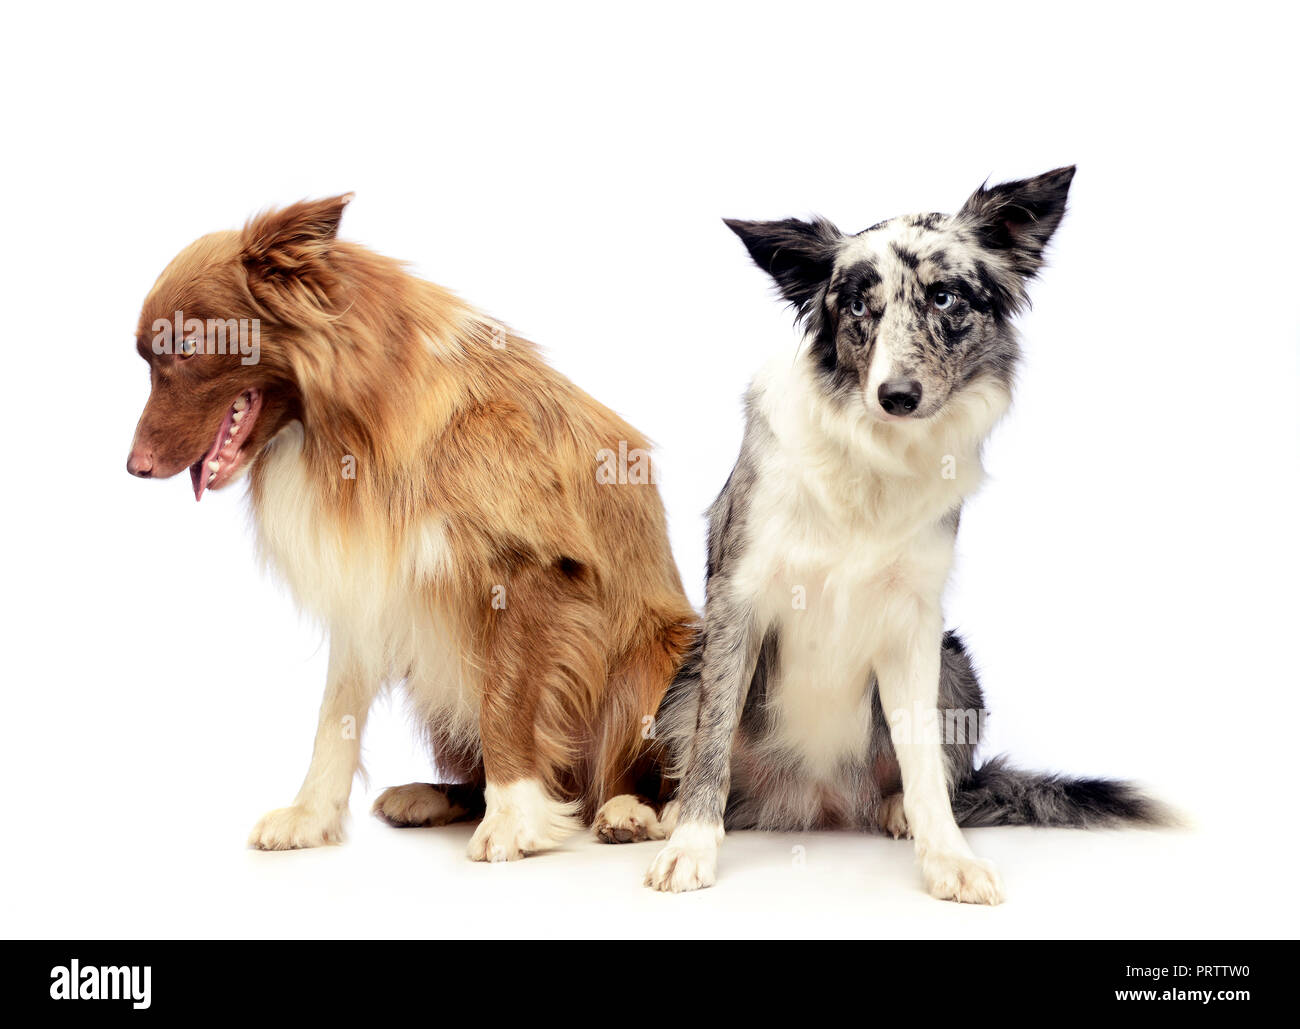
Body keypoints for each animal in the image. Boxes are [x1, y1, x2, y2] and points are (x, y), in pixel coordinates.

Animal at [130, 197, 696, 857]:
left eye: (186, 345)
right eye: (148, 356)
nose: (133, 467)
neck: (348, 423)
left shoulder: (530, 570)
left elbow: (507, 703)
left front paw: (514, 820)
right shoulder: (367, 579)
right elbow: (334, 715)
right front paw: (310, 814)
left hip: (662, 656)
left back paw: (634, 811)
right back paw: (431, 796)